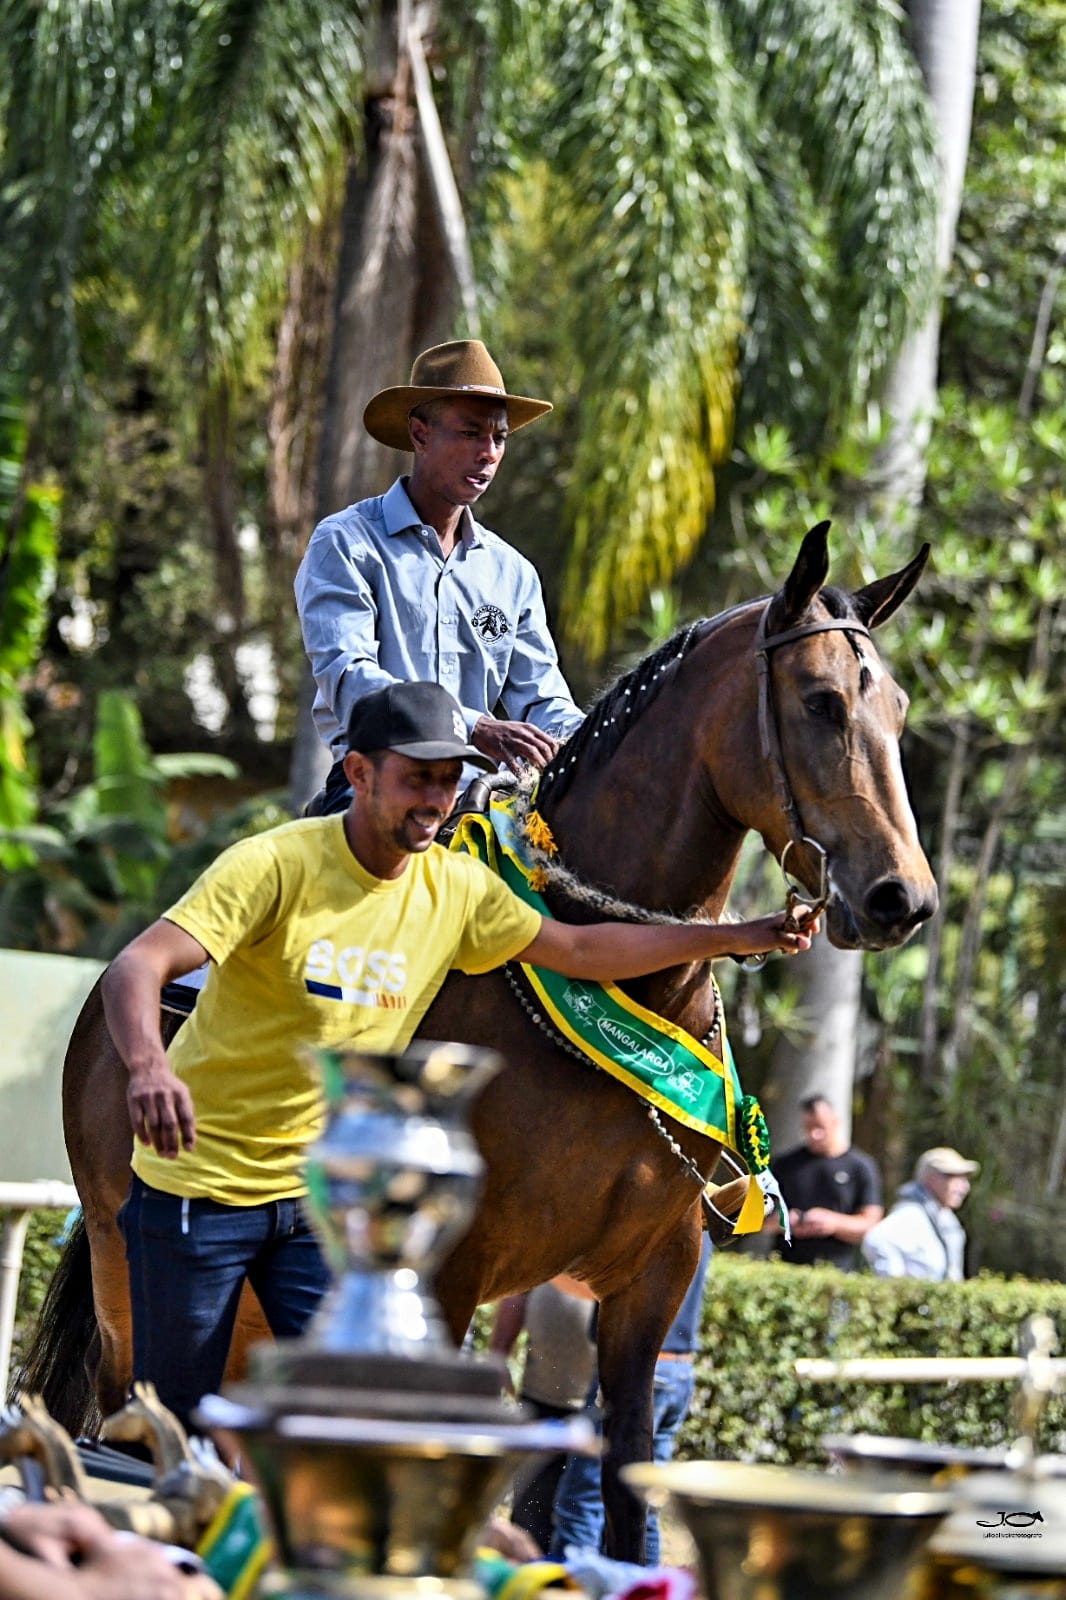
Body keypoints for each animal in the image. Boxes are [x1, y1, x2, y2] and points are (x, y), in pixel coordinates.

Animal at [21, 524, 937, 1560]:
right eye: (822, 702)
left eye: (898, 709)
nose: (901, 899)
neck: (615, 982)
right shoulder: (445, 1273)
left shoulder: (652, 1283)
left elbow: (626, 1492)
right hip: (123, 1265)